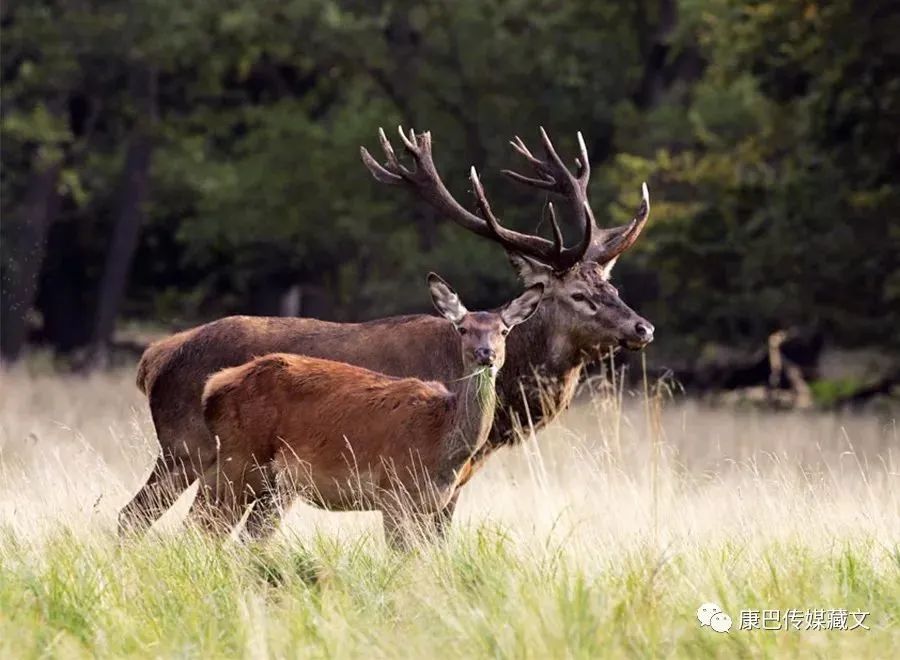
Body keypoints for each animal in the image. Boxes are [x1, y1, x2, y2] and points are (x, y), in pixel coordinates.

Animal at [195, 270, 540, 544]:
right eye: (463, 329)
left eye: (504, 331)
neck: (440, 442)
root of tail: (213, 386)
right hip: (241, 459)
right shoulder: (392, 491)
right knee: (207, 525)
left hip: (268, 482)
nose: (486, 354)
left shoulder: (430, 504)